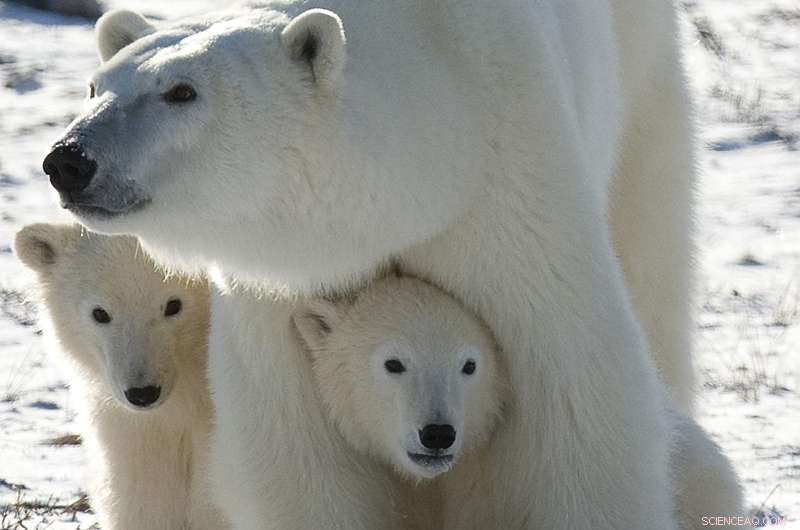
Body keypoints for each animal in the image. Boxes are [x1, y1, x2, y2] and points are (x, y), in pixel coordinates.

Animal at [42, 2, 723, 528]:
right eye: (96, 86)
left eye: (182, 91)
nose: (68, 160)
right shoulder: (280, 285)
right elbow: (297, 451)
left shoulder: (509, 186)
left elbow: (581, 394)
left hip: (642, 84)